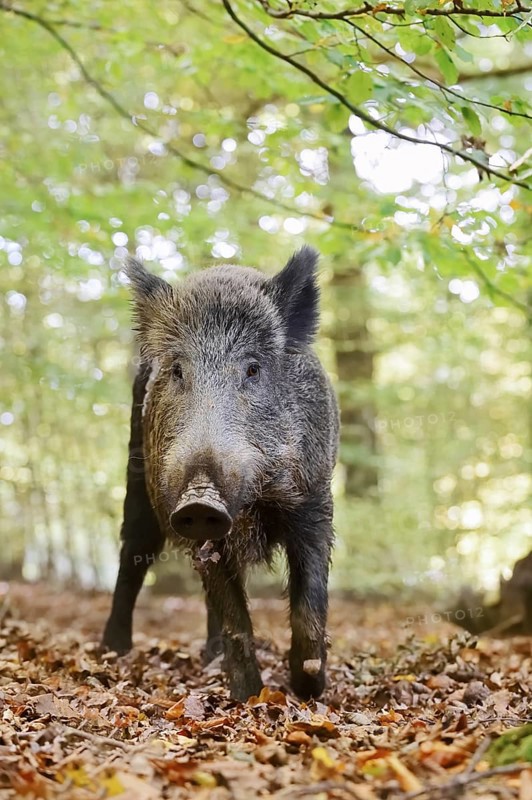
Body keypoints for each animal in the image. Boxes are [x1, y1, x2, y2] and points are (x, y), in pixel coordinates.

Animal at [102, 247, 339, 700]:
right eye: (178, 370)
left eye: (253, 369)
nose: (201, 498)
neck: (253, 503)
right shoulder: (185, 514)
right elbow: (233, 614)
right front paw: (249, 698)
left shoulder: (315, 502)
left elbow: (309, 600)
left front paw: (309, 687)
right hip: (137, 481)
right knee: (133, 554)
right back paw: (111, 652)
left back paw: (209, 658)